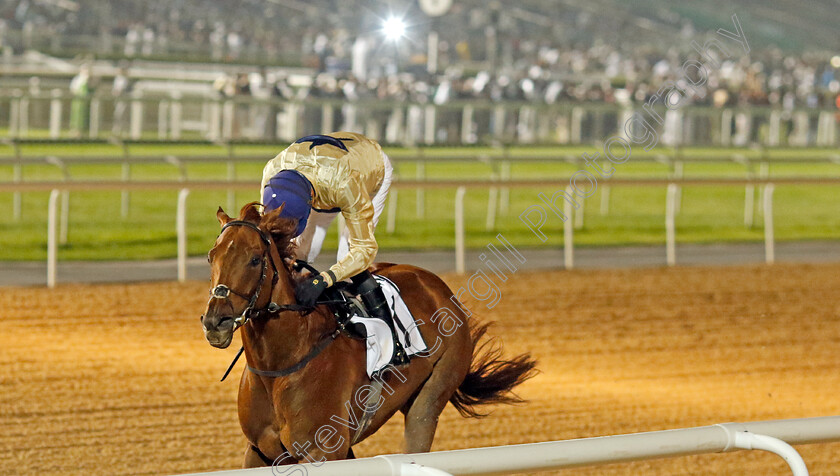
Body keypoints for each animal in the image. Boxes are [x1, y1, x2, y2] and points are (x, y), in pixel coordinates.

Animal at [200, 203, 536, 466]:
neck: (282, 363)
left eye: (255, 259)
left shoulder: (323, 451)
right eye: (211, 256)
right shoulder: (260, 450)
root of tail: (436, 284)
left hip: (431, 397)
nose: (216, 321)